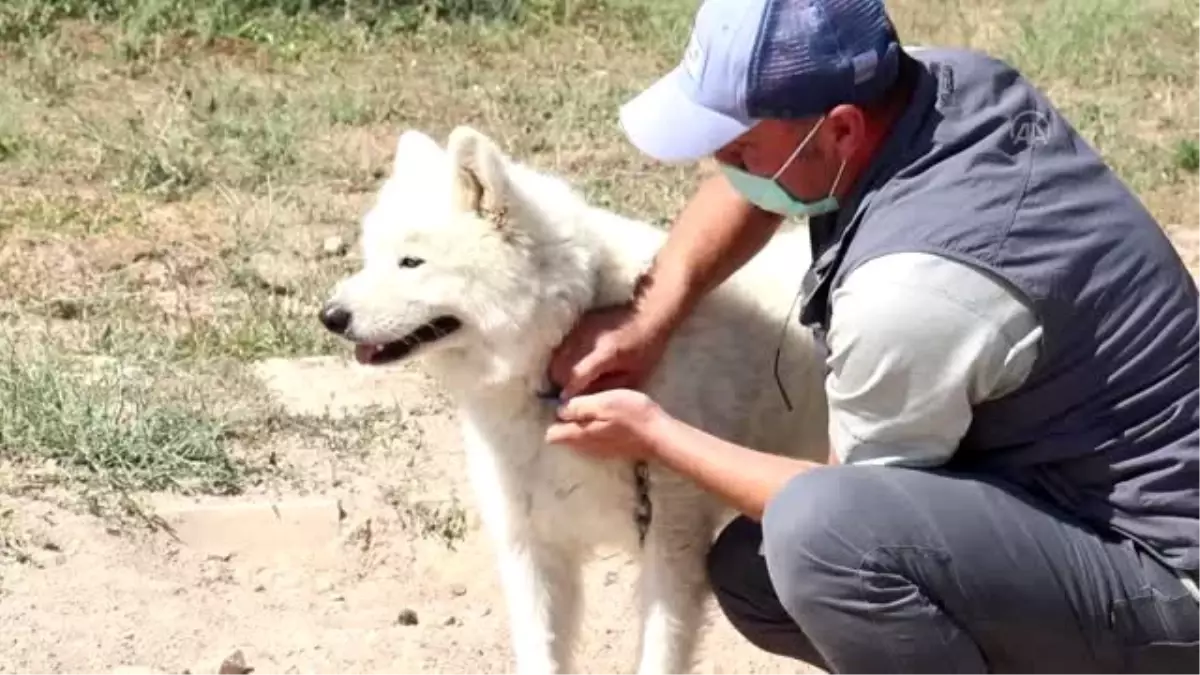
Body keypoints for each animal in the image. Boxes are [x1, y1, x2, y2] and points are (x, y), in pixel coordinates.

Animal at [319, 127, 835, 672]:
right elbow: (540, 654)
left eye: (411, 262)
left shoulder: (671, 548)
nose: (329, 316)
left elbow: (658, 655)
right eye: (371, 257)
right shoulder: (534, 550)